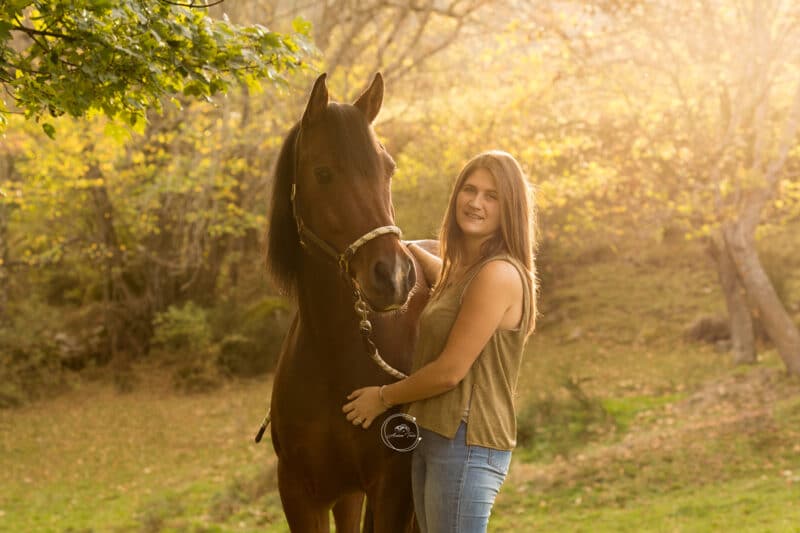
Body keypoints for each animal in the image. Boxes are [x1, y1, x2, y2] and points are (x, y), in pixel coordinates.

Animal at [268, 72, 432, 528]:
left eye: (388, 169)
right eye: (323, 173)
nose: (394, 276)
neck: (334, 356)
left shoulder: (393, 491)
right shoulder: (302, 494)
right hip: (347, 495)